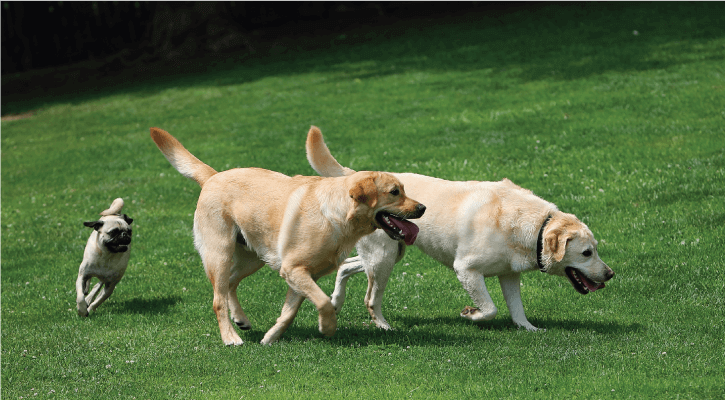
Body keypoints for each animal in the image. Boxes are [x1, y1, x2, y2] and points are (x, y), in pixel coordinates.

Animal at [151, 127, 424, 344]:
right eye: (394, 192)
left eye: (403, 190)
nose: (422, 208)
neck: (335, 217)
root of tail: (213, 176)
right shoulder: (294, 270)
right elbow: (324, 302)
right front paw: (327, 327)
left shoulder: (300, 276)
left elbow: (288, 313)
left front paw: (270, 337)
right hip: (219, 254)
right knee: (218, 299)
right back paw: (230, 337)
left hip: (253, 257)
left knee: (230, 284)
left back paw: (241, 319)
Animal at [308, 129, 612, 332]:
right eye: (586, 253)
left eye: (595, 250)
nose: (611, 274)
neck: (535, 225)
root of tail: (358, 177)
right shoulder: (466, 269)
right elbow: (490, 309)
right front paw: (470, 314)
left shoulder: (509, 275)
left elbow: (517, 309)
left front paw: (529, 329)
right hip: (383, 258)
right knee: (371, 298)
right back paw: (383, 326)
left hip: (389, 254)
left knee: (345, 266)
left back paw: (335, 302)